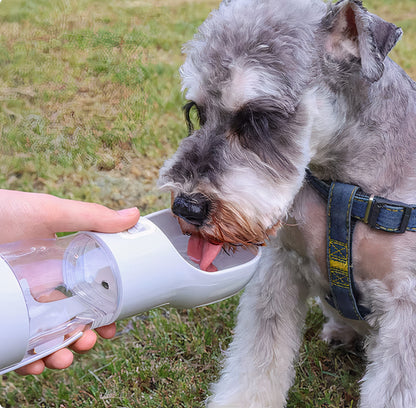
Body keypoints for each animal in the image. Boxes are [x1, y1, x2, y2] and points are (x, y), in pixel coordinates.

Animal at [157, 0, 416, 404]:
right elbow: (258, 359)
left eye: (259, 119)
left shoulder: (406, 307)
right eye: (197, 111)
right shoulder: (280, 268)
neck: (343, 186)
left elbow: (395, 390)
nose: (187, 207)